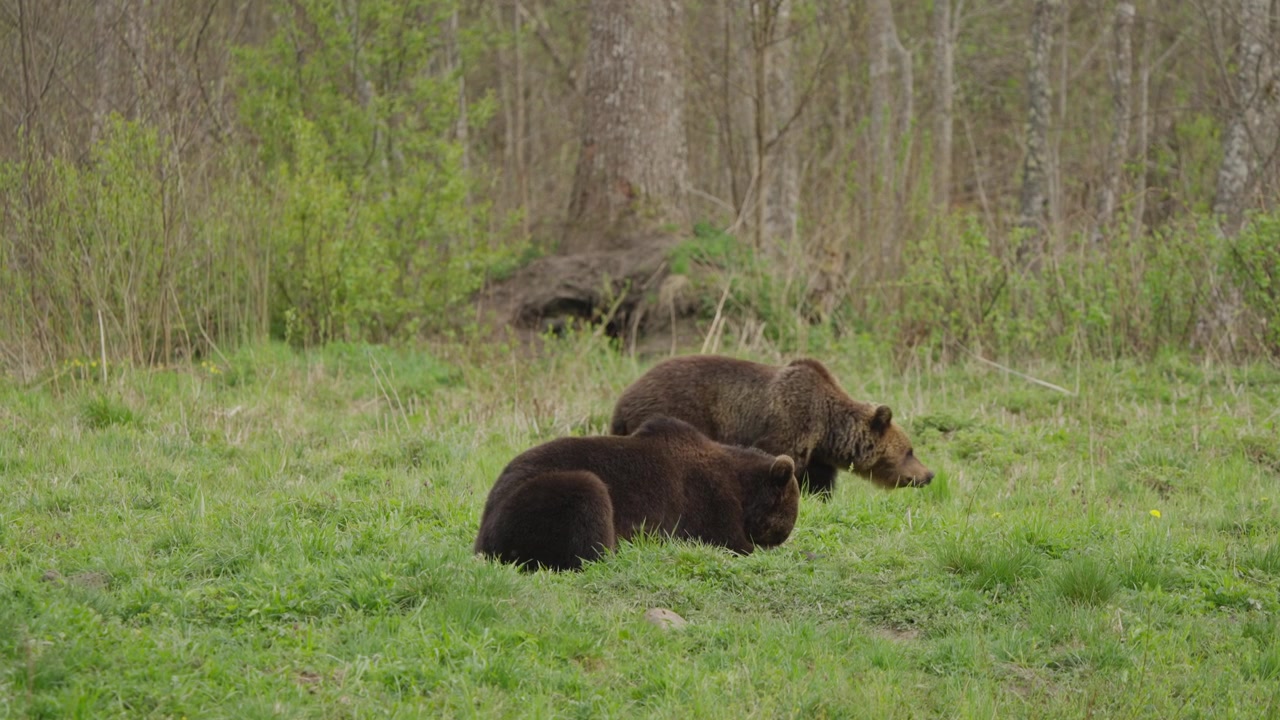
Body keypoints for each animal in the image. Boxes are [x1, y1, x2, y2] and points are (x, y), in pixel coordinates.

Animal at [474, 416, 799, 571]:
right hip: (537, 498)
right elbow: (730, 541)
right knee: (588, 497)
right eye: (790, 518)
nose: (782, 537)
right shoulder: (708, 499)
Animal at [609, 355, 934, 496]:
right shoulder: (791, 421)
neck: (828, 429)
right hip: (677, 410)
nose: (929, 474)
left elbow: (819, 482)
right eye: (910, 451)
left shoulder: (817, 454)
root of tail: (622, 401)